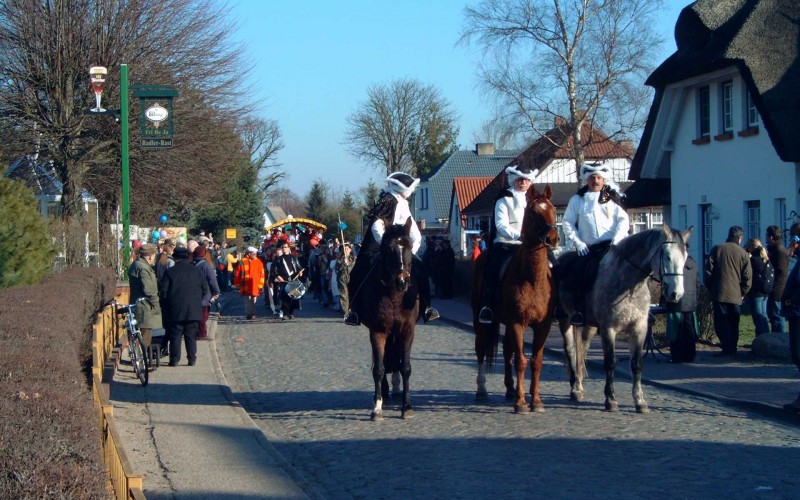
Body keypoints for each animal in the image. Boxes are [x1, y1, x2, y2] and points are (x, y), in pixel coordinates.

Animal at [354, 218, 422, 418]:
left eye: (409, 246)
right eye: (389, 248)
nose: (402, 282)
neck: (394, 296)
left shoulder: (407, 330)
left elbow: (405, 367)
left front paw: (407, 406)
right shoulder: (377, 331)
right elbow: (378, 368)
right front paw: (377, 408)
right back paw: (383, 393)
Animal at [468, 186, 556, 412]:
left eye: (553, 210)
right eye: (534, 212)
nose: (553, 238)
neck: (532, 278)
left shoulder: (543, 326)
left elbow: (536, 361)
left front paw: (536, 401)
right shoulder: (517, 323)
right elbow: (522, 361)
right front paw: (521, 403)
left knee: (507, 350)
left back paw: (510, 389)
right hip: (481, 320)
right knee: (481, 350)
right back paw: (482, 390)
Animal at [556, 225, 692, 412]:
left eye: (685, 257)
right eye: (667, 255)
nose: (676, 294)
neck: (629, 285)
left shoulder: (639, 329)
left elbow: (636, 364)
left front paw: (640, 401)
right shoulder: (608, 329)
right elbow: (610, 362)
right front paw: (611, 399)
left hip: (589, 326)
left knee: (582, 350)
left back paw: (579, 386)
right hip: (565, 320)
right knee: (571, 350)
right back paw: (575, 390)